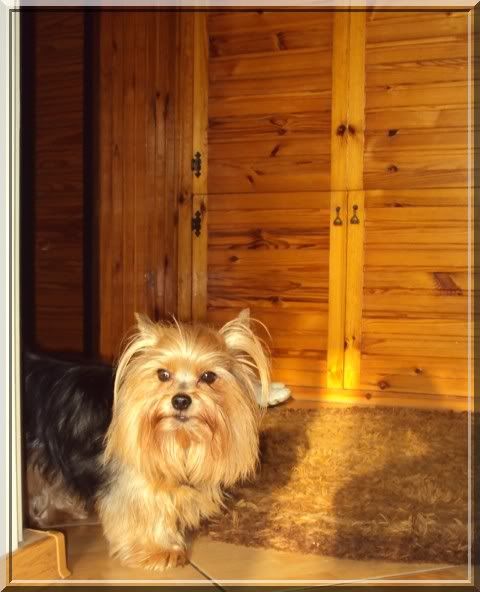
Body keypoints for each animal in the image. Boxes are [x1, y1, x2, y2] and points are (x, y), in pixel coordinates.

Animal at [23, 310, 290, 570]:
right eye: (163, 374)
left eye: (208, 376)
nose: (180, 400)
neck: (178, 438)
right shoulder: (135, 480)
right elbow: (146, 509)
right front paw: (159, 551)